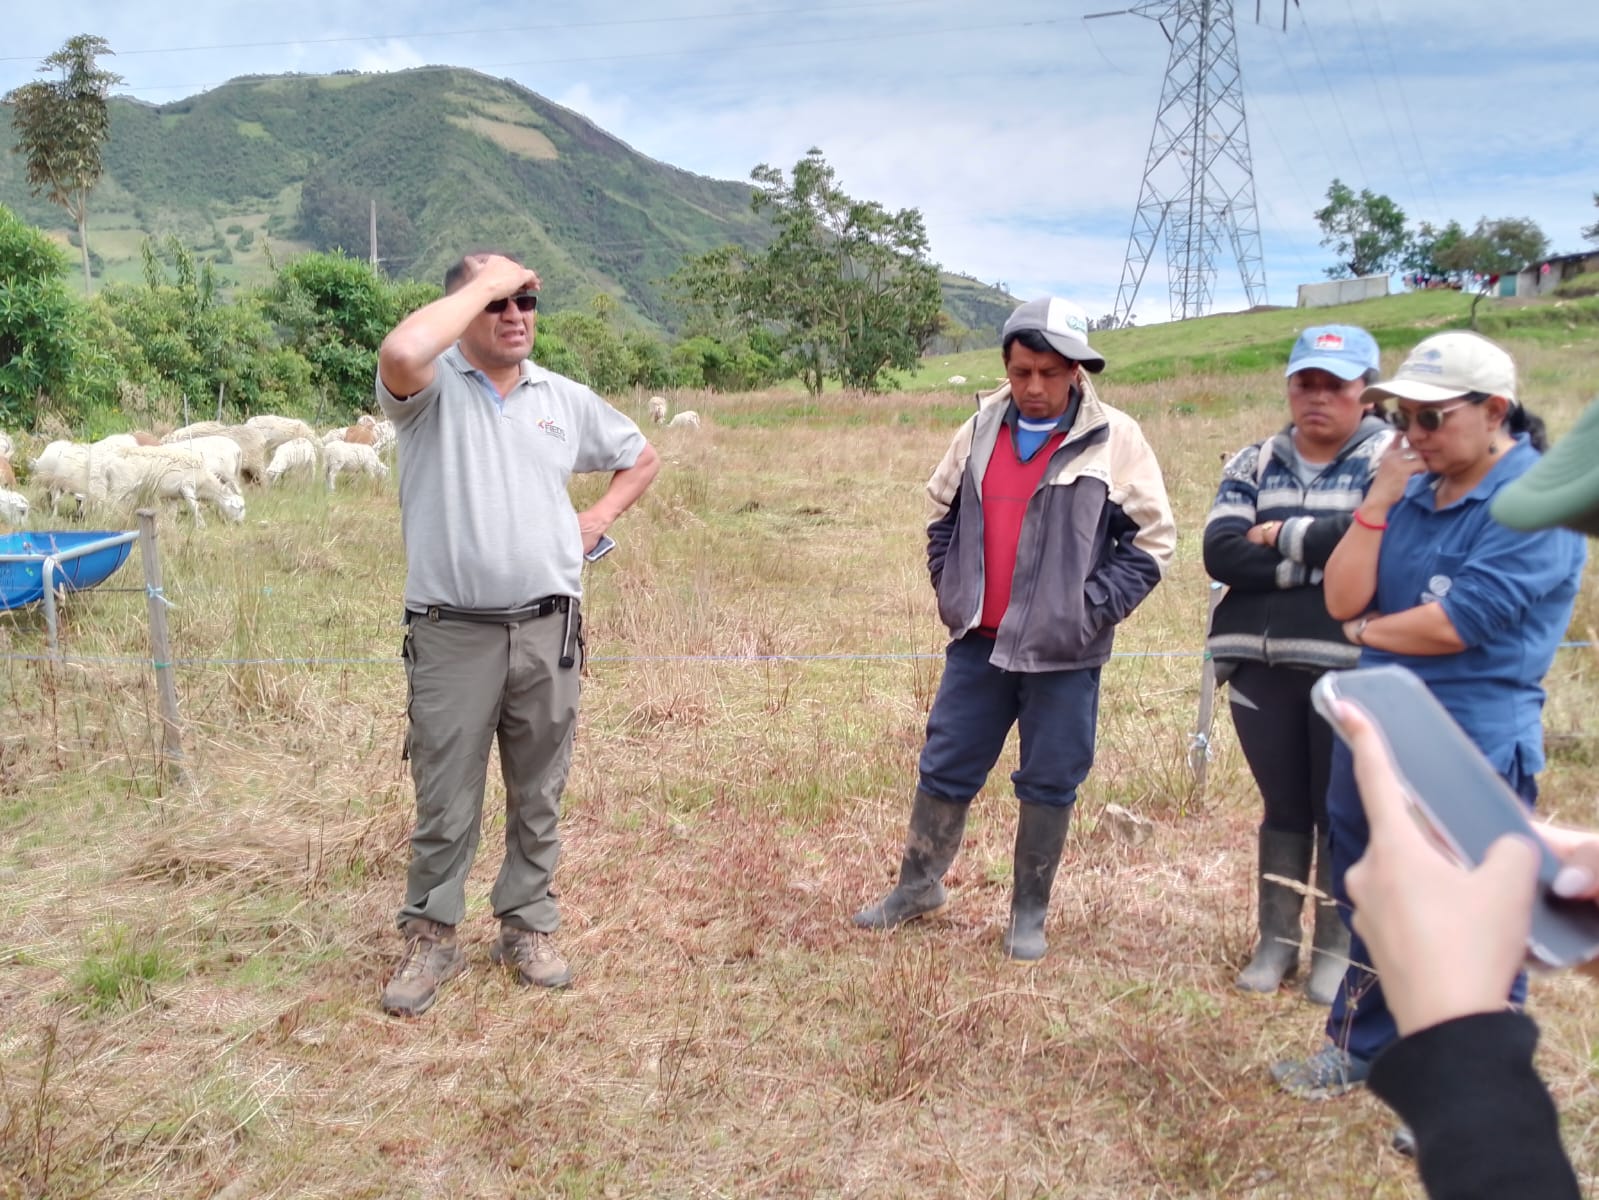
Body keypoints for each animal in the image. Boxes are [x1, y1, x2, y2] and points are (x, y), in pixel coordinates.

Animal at [101, 448, 246, 526]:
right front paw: (202, 526)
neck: (205, 481)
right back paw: (106, 521)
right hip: (120, 486)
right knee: (108, 506)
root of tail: (108, 465)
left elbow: (172, 514)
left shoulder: (172, 496)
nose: (240, 524)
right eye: (240, 508)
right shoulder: (186, 487)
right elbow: (195, 507)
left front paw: (171, 528)